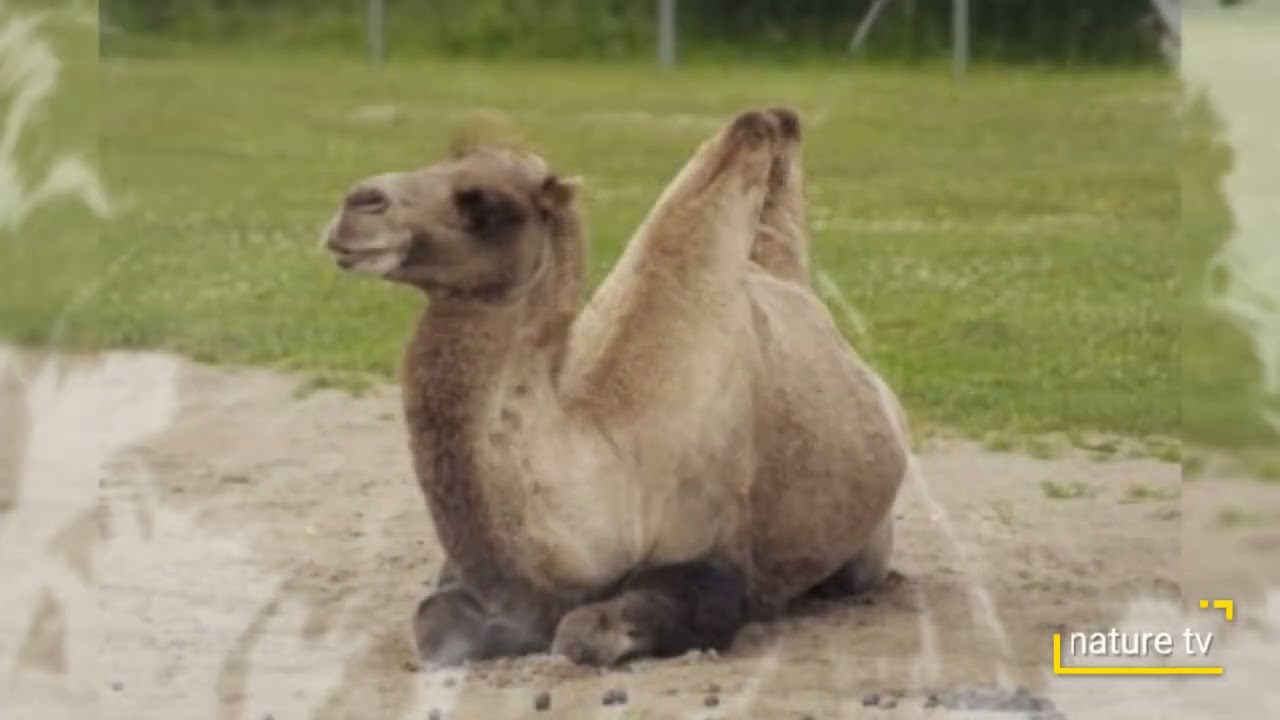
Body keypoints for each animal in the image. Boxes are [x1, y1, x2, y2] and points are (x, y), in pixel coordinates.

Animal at [322, 108, 910, 667]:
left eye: (484, 202)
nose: (358, 203)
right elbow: (433, 623)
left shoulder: (712, 560)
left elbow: (582, 634)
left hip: (866, 544)